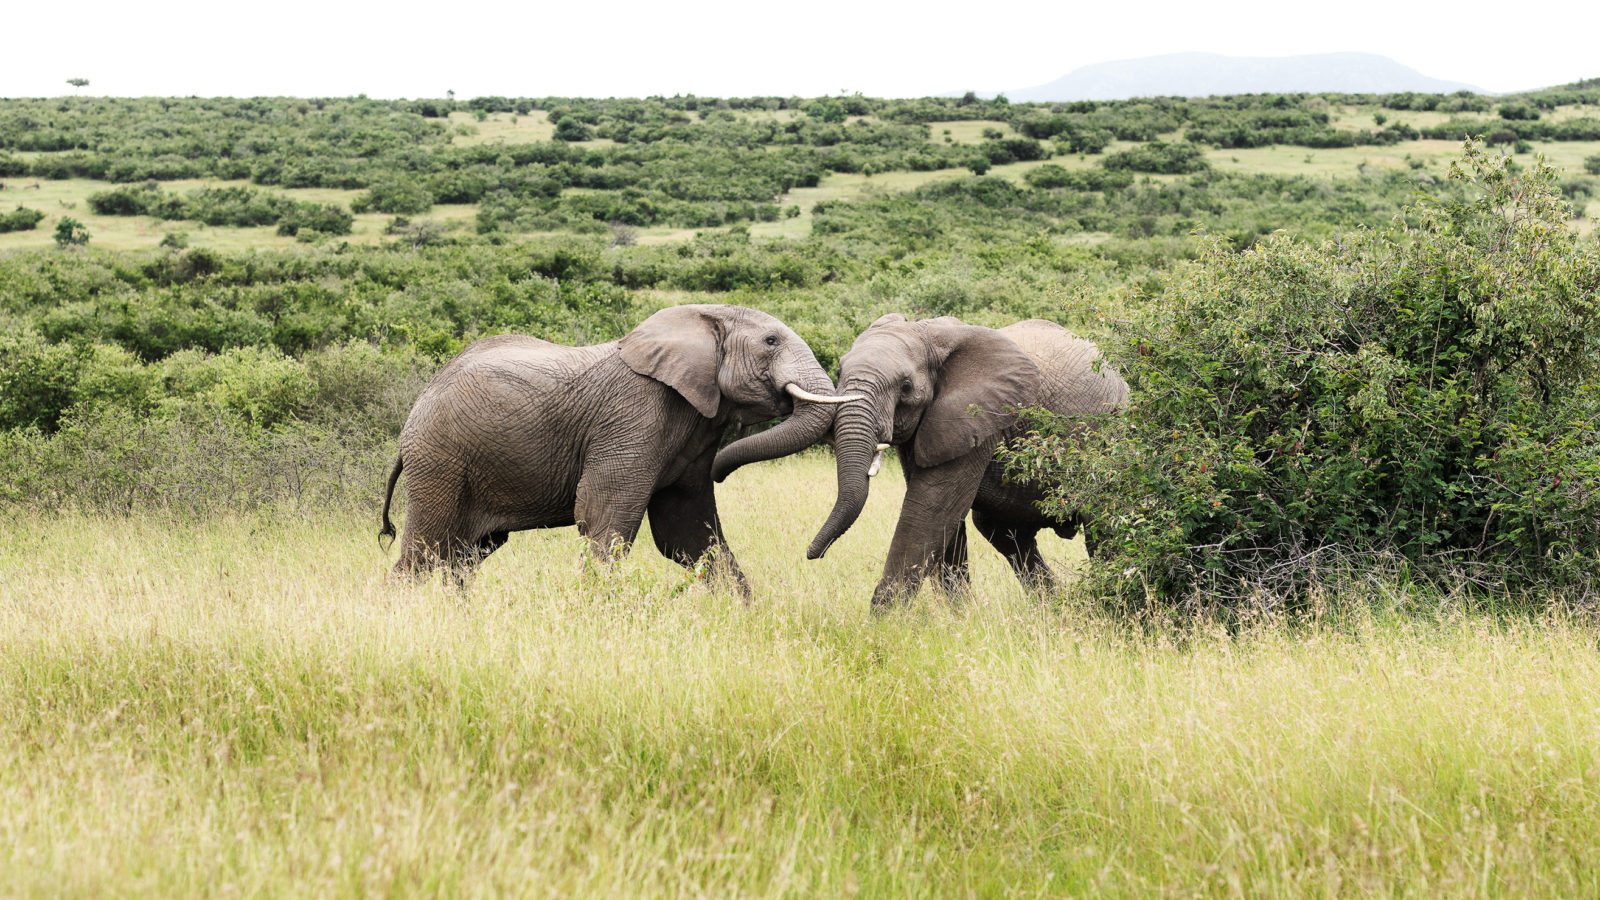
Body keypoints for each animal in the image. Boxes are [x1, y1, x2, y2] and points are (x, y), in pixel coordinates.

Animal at [379, 304, 860, 592]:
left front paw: (743, 618)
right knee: (426, 550)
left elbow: (688, 532)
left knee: (465, 555)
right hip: (440, 459)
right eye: (771, 342)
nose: (812, 554)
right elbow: (603, 519)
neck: (700, 318)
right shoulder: (634, 417)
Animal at [714, 314, 1128, 610]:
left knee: (1103, 528)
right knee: (1006, 534)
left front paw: (883, 624)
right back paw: (1053, 610)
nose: (812, 553)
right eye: (841, 371)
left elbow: (932, 507)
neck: (927, 331)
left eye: (906, 387)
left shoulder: (978, 415)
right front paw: (960, 619)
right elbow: (943, 518)